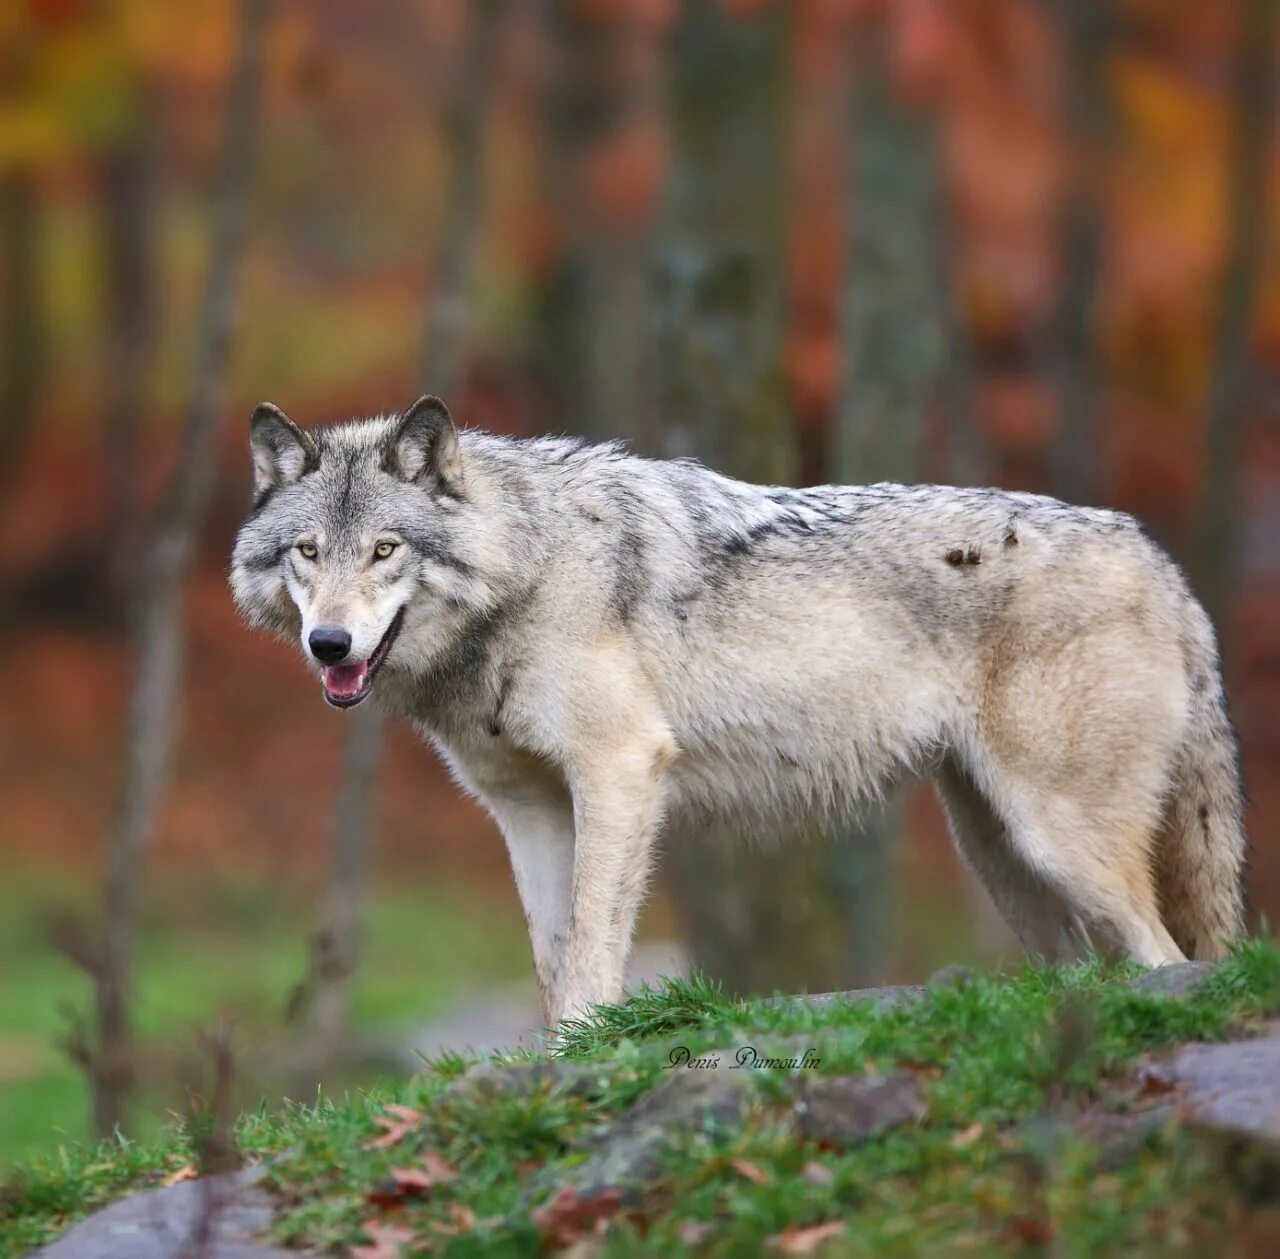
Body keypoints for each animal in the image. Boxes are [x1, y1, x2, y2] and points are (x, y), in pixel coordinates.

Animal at [227, 399, 1239, 1028]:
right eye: (307, 552)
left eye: (385, 550)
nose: (330, 644)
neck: (532, 567)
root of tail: (1165, 563)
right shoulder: (530, 812)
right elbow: (552, 956)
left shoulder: (621, 771)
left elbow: (591, 947)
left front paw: (584, 1052)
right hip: (1003, 858)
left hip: (1057, 838)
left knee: (1165, 955)